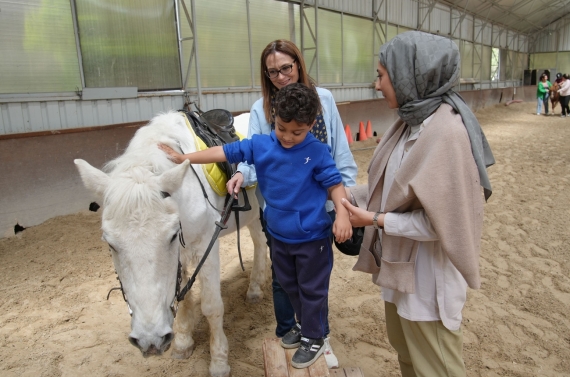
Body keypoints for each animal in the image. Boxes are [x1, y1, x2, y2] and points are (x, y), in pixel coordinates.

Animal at [73, 110, 266, 376]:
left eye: (172, 235)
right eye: (110, 244)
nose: (150, 340)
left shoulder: (206, 246)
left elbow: (211, 306)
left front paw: (219, 361)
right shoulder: (181, 255)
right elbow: (182, 300)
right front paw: (183, 344)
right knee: (260, 243)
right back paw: (256, 287)